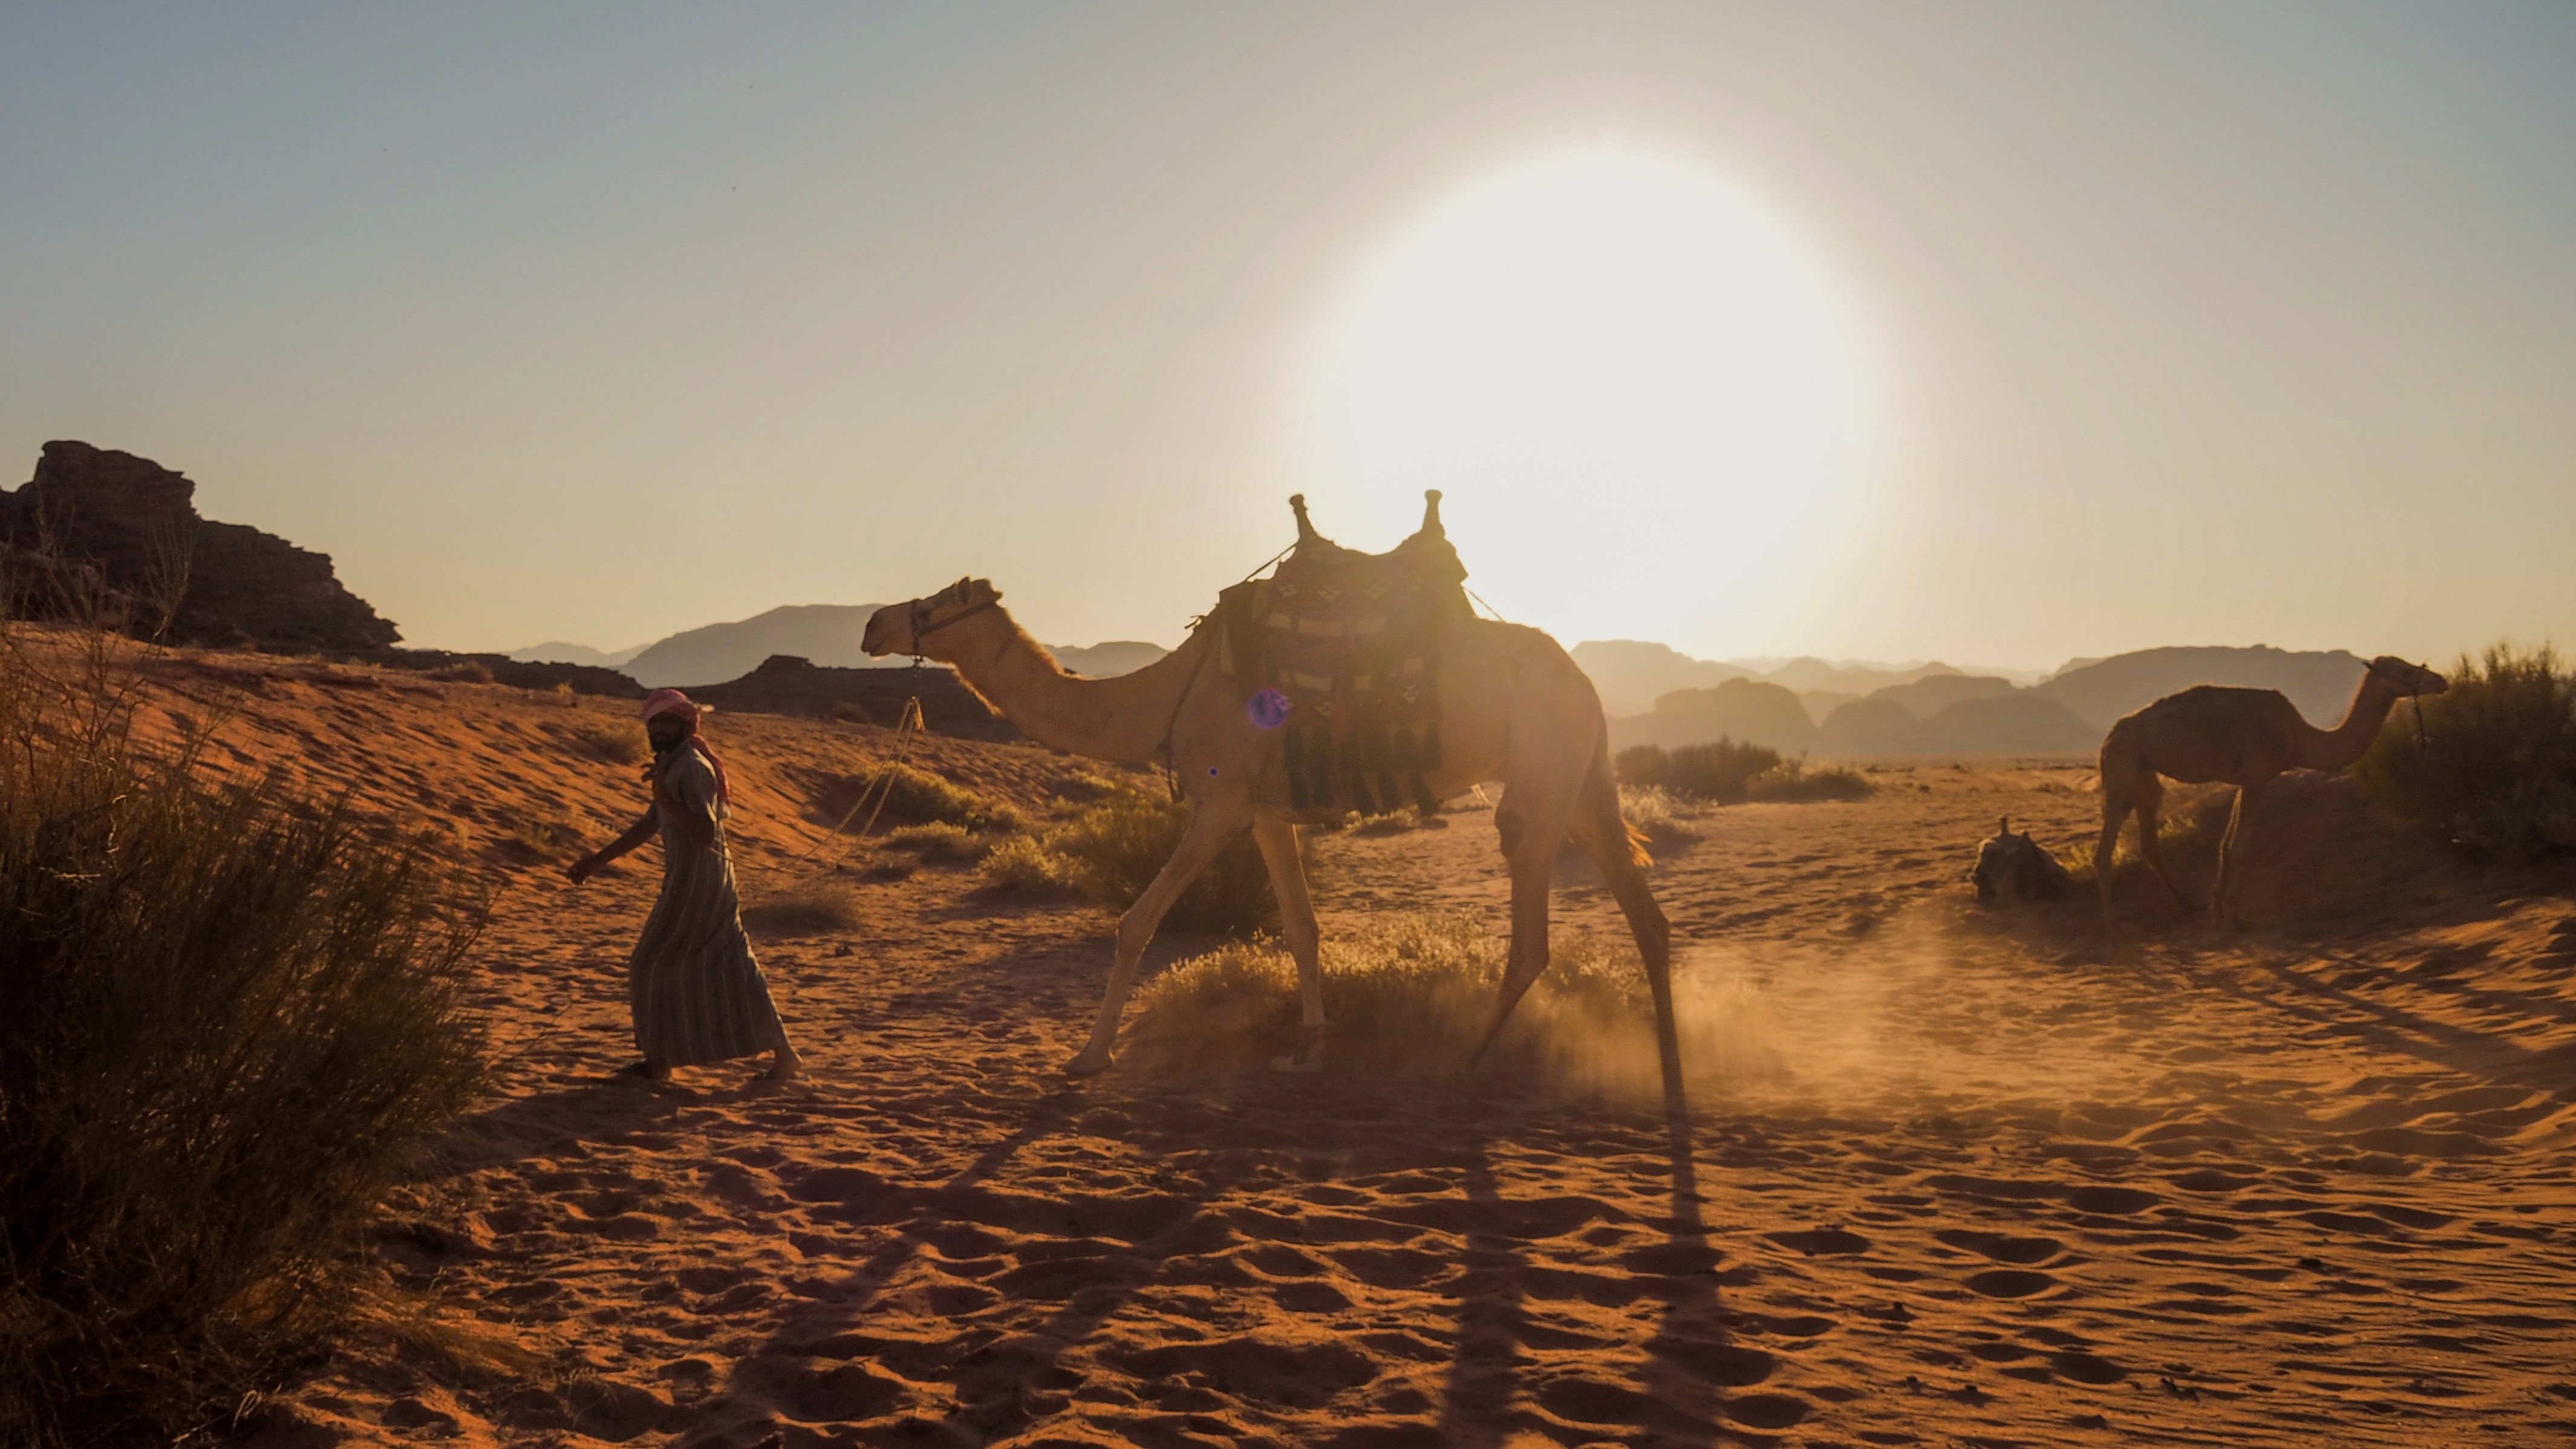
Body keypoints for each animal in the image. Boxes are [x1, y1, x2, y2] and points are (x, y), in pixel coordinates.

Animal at [859, 498, 1679, 1088]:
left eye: (931, 605)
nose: (871, 623)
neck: (1165, 697)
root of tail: (1582, 680)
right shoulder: (1264, 811)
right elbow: (1301, 928)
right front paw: (1307, 1048)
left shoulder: (1219, 802)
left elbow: (1135, 923)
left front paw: (1089, 1057)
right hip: (1580, 781)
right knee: (1647, 916)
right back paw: (1671, 1068)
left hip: (1539, 775)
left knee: (1533, 929)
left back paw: (1467, 1064)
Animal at [2093, 655, 2447, 925]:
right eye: (2405, 671)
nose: (2441, 680)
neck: (2299, 737)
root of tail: (2109, 736)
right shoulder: (2257, 776)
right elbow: (2240, 846)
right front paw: (2233, 919)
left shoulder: (2248, 780)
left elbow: (2226, 844)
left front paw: (2216, 910)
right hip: (2124, 763)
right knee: (2107, 844)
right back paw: (2112, 923)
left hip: (2144, 773)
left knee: (2149, 836)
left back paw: (2189, 906)